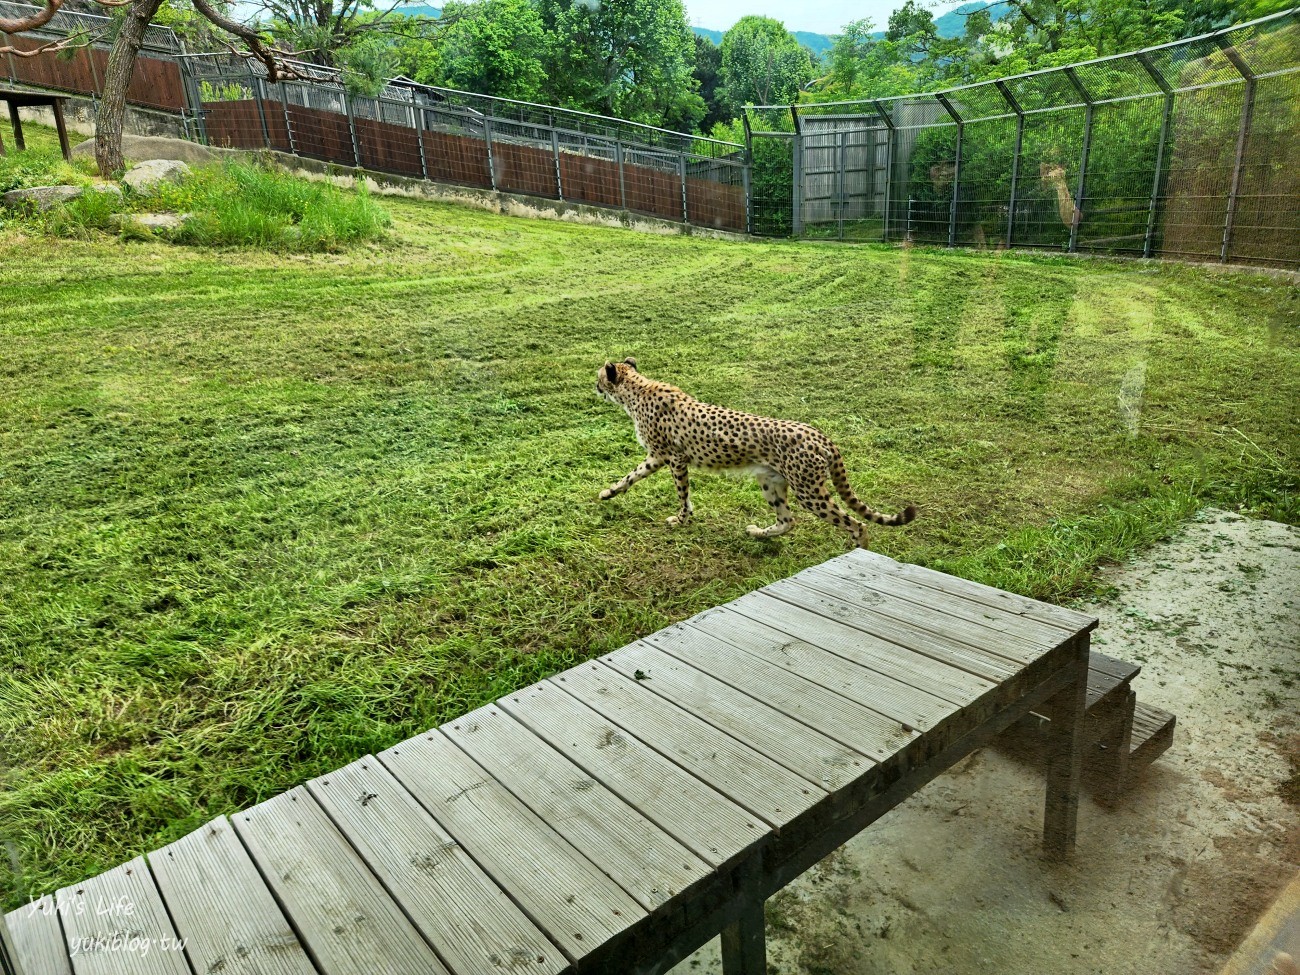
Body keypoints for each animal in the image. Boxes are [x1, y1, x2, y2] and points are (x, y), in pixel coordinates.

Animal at [598, 361, 915, 551]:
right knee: (788, 520)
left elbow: (682, 494)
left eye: (599, 376)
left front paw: (682, 519)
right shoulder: (657, 456)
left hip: (809, 492)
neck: (636, 390)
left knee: (856, 524)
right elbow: (630, 476)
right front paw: (608, 493)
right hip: (770, 480)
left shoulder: (673, 458)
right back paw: (759, 533)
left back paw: (858, 553)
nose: (595, 386)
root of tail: (819, 434)